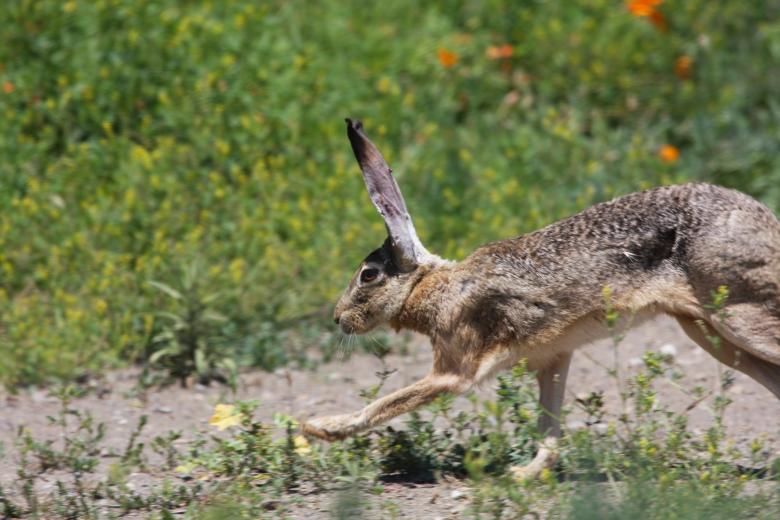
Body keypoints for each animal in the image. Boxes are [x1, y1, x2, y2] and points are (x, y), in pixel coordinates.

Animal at [302, 119, 780, 480]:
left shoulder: (455, 368)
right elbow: (549, 425)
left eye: (368, 276)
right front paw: (526, 475)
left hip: (738, 314)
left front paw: (319, 428)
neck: (433, 285)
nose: (338, 318)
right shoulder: (553, 357)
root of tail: (769, 225)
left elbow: (387, 403)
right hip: (708, 332)